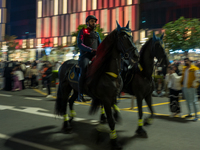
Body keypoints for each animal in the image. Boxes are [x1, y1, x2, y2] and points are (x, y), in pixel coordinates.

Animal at [54, 21, 139, 149]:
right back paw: (67, 126)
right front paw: (114, 141)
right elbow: (111, 120)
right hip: (65, 88)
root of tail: (64, 64)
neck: (109, 73)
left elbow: (112, 112)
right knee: (64, 105)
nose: (136, 55)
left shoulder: (111, 97)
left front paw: (108, 124)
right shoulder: (106, 99)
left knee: (71, 101)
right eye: (123, 37)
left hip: (76, 90)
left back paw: (72, 118)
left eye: (132, 36)